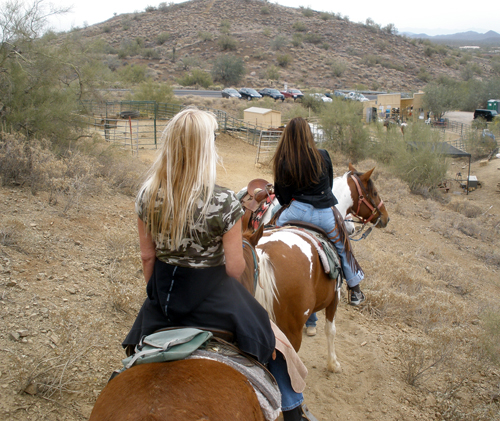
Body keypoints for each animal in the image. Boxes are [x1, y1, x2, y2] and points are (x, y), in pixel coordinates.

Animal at [254, 164, 386, 370]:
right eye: (374, 192)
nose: (385, 218)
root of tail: (264, 254)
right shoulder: (335, 298)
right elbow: (331, 330)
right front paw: (333, 364)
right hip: (289, 333)